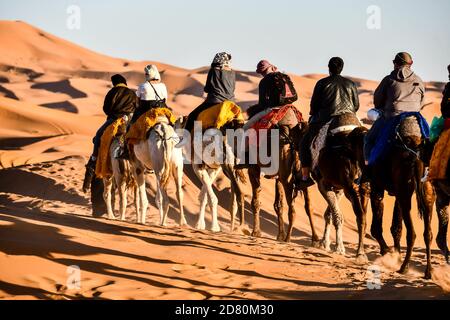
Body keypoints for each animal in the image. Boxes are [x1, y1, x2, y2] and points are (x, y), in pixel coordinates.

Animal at [370, 115, 436, 278]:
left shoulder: (376, 187)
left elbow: (377, 227)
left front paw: (388, 253)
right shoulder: (397, 193)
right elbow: (396, 227)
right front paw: (395, 254)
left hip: (403, 191)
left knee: (412, 233)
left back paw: (404, 267)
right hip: (426, 193)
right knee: (428, 233)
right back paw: (428, 271)